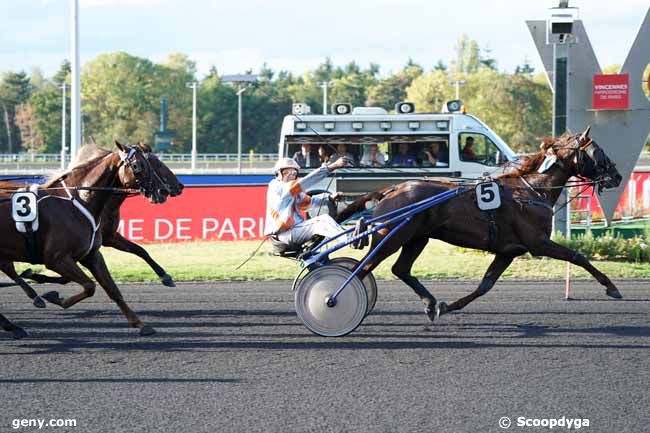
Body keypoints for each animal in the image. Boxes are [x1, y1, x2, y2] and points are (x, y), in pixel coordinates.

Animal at [0, 142, 171, 338]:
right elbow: (90, 286)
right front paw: (55, 297)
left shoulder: (92, 255)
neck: (78, 202)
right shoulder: (57, 259)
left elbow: (113, 289)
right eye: (137, 166)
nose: (163, 190)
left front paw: (140, 324)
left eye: (151, 163)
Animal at [336, 125, 620, 320]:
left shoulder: (508, 251)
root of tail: (392, 189)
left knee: (400, 269)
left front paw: (447, 306)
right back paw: (337, 300)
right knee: (361, 268)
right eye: (597, 152)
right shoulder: (538, 243)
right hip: (392, 236)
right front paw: (612, 287)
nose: (616, 175)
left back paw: (429, 302)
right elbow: (578, 256)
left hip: (417, 237)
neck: (533, 191)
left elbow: (485, 285)